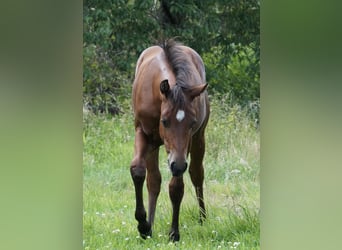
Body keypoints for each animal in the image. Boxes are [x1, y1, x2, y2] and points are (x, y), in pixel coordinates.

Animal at [130, 39, 208, 242]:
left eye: (192, 122)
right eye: (164, 121)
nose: (178, 165)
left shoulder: (184, 147)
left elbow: (176, 187)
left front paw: (174, 232)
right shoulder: (143, 133)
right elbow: (138, 171)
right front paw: (143, 225)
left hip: (198, 139)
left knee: (197, 174)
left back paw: (203, 218)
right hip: (154, 145)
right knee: (154, 180)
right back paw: (150, 223)